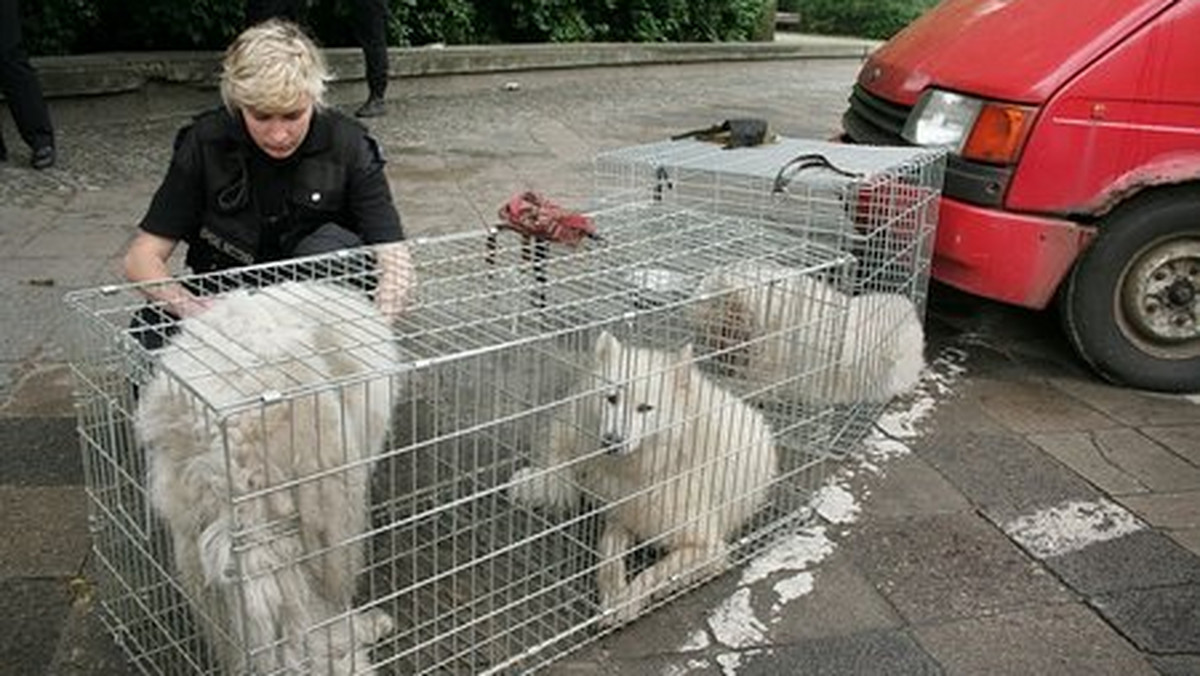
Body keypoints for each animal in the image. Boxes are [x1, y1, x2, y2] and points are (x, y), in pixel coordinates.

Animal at [508, 331, 777, 629]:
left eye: (645, 408)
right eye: (612, 399)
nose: (611, 441)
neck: (649, 471)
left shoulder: (708, 548)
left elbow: (653, 574)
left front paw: (624, 603)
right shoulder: (621, 518)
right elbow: (608, 557)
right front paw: (613, 590)